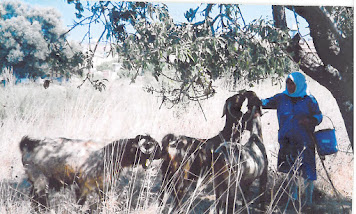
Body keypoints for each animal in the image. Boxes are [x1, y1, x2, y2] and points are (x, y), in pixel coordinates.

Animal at [20, 135, 162, 211]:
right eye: (152, 145)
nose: (161, 154)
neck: (110, 153)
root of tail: (29, 145)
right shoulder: (84, 186)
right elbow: (80, 203)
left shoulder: (103, 187)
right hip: (40, 180)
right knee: (41, 200)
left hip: (36, 182)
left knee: (33, 199)